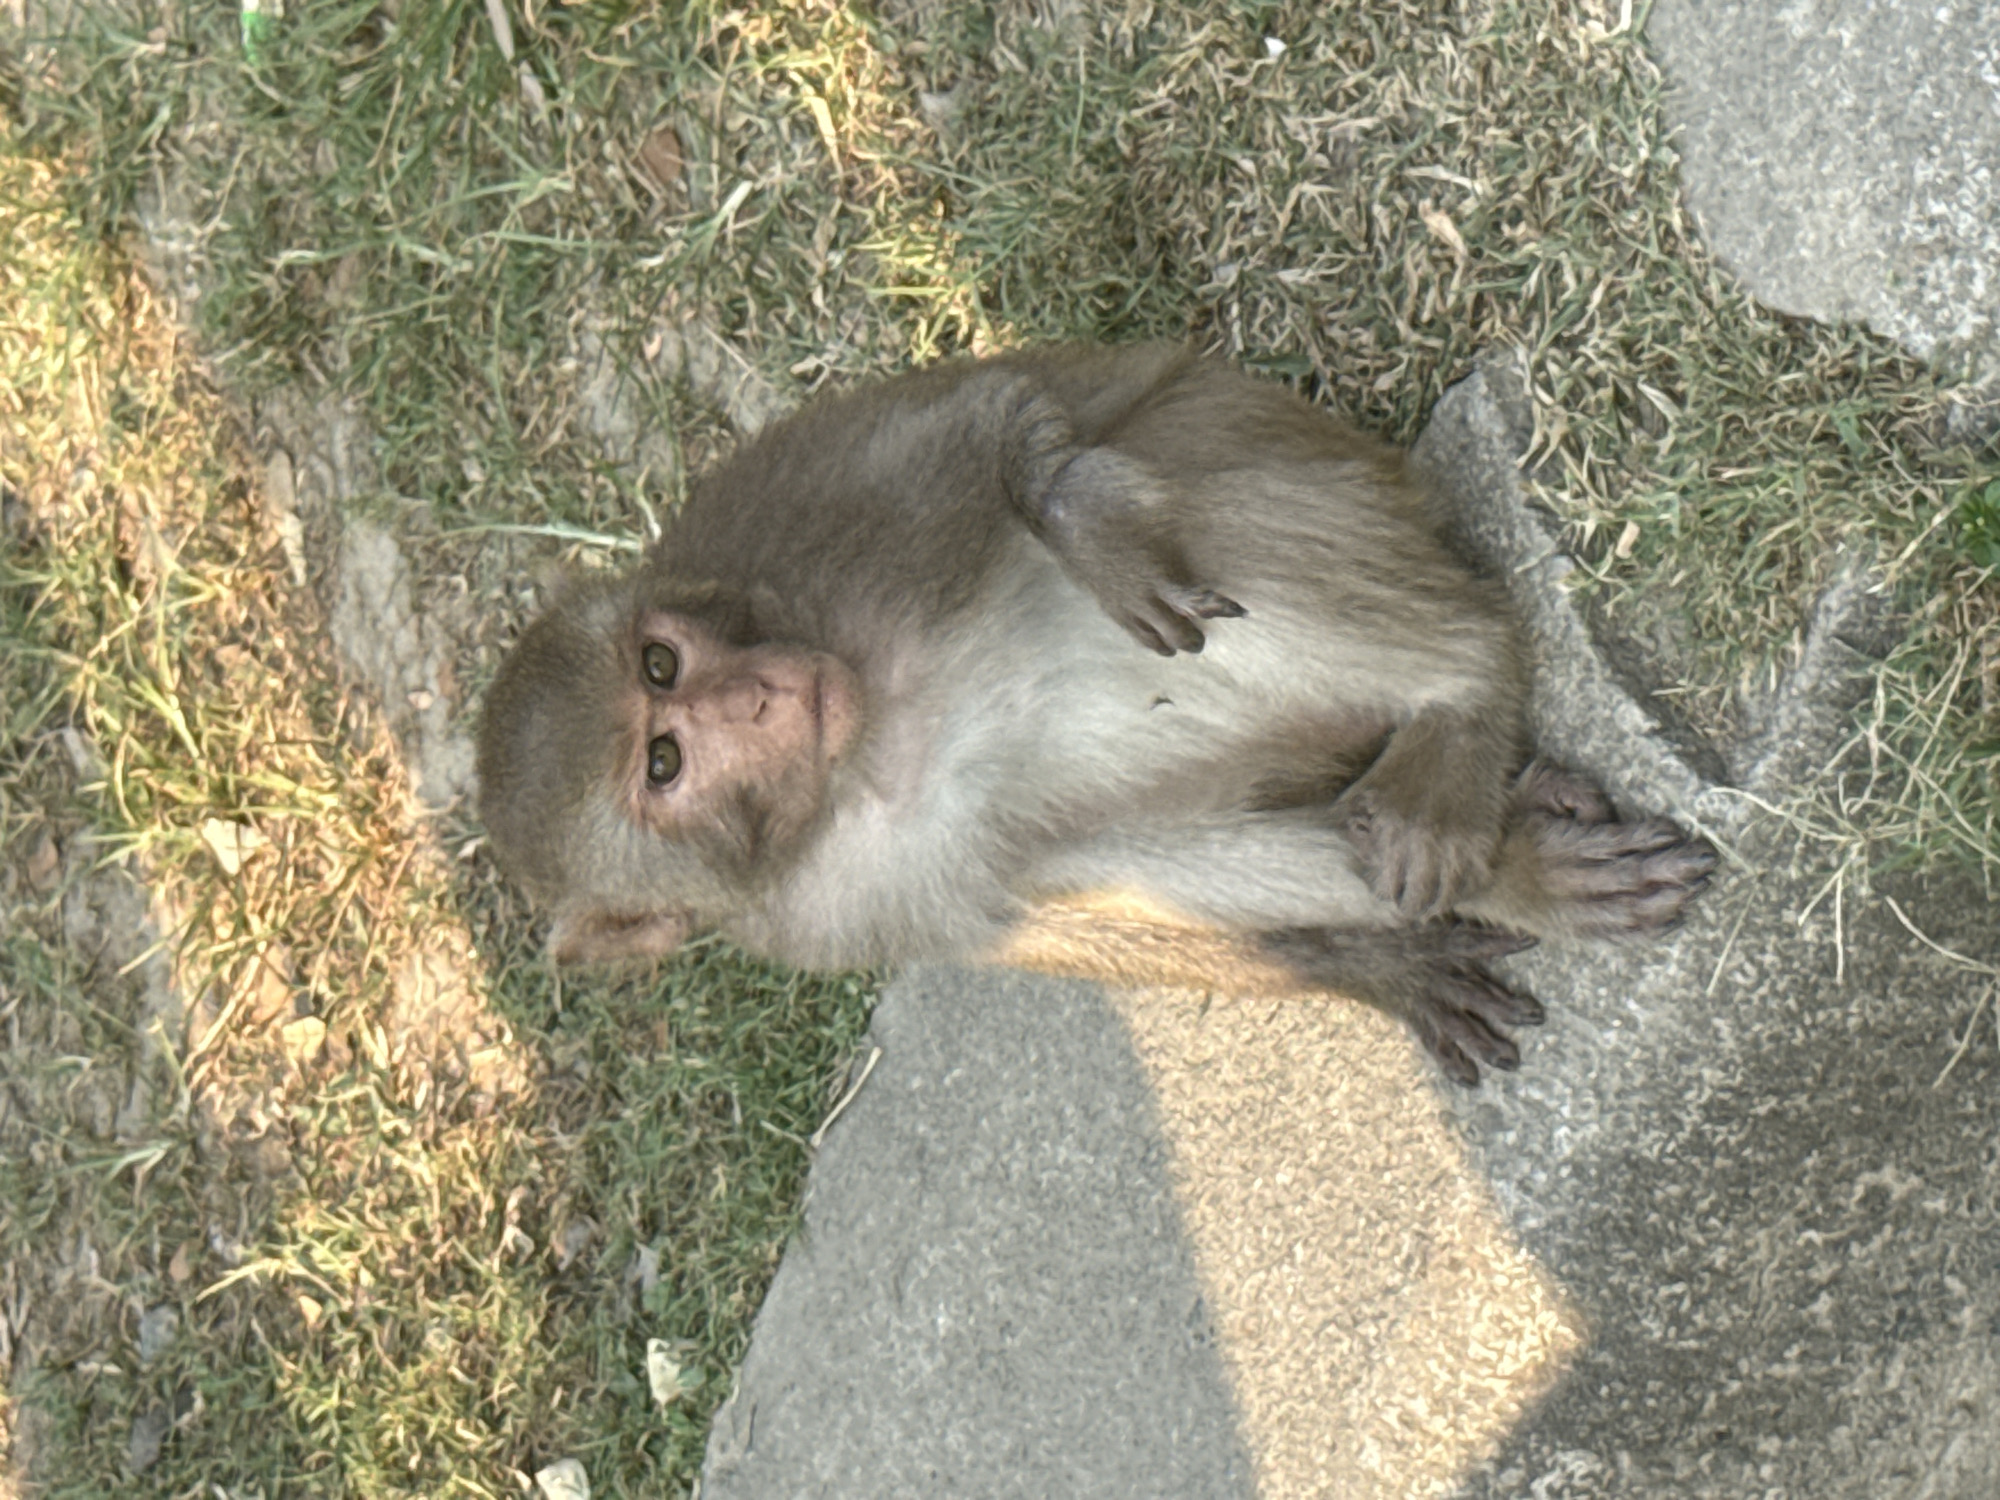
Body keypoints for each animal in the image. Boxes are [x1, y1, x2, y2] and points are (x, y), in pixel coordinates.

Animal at [476, 344, 1715, 1085]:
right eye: (665, 762)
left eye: (661, 662)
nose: (761, 691)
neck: (856, 761)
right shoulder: (820, 917)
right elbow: (1059, 916)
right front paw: (1384, 969)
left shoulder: (810, 521)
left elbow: (988, 423)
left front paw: (1074, 515)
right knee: (1117, 843)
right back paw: (1507, 859)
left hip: (1314, 479)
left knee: (1216, 521)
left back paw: (1460, 699)